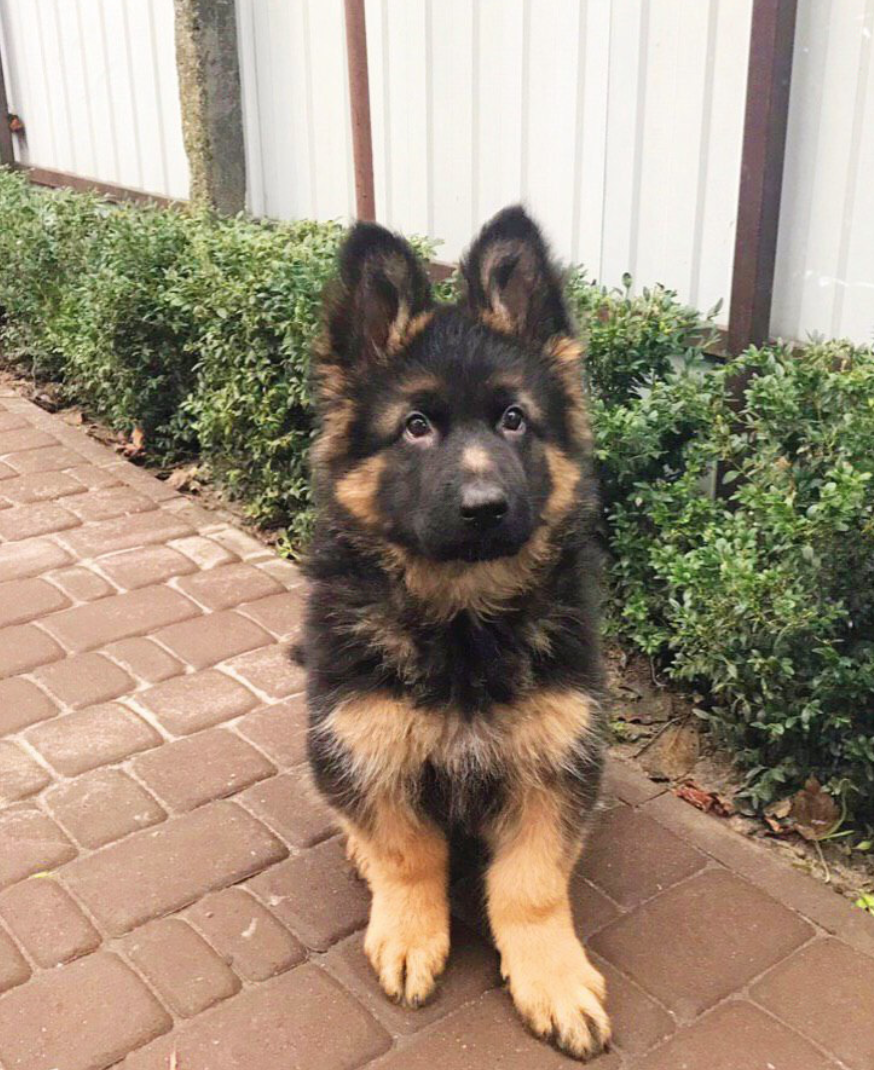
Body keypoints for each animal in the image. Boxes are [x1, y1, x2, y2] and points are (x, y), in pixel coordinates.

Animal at [301, 206, 609, 1060]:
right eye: (415, 427)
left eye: (513, 420)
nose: (484, 508)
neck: (463, 621)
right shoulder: (365, 742)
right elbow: (407, 853)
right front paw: (410, 933)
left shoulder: (555, 762)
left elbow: (532, 885)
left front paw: (552, 976)